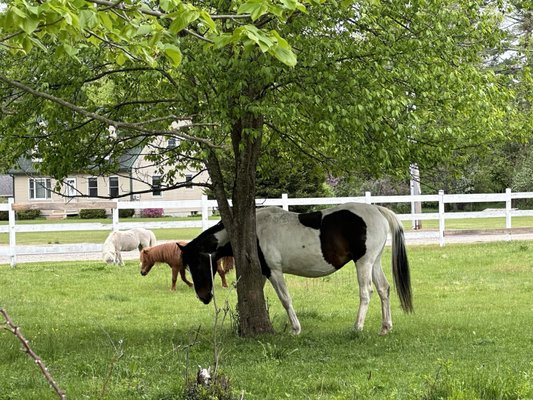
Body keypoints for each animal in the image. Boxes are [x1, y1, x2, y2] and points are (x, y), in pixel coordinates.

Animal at [177, 202, 414, 336]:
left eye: (197, 263)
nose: (204, 297)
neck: (255, 230)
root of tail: (377, 210)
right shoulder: (262, 272)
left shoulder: (274, 271)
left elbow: (285, 299)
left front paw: (295, 329)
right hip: (374, 262)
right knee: (384, 289)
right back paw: (385, 327)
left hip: (363, 262)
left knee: (366, 292)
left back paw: (357, 327)